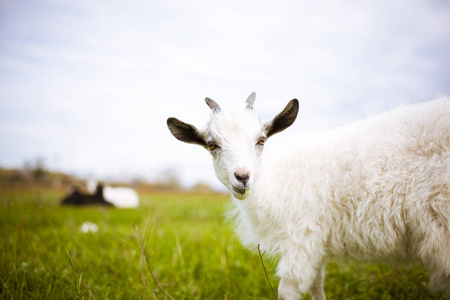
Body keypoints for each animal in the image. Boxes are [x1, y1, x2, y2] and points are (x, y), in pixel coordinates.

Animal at [168, 92, 450, 298]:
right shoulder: (318, 243)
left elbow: (288, 290)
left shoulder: (302, 237)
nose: (242, 176)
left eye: (261, 140)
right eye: (212, 145)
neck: (276, 183)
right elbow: (317, 286)